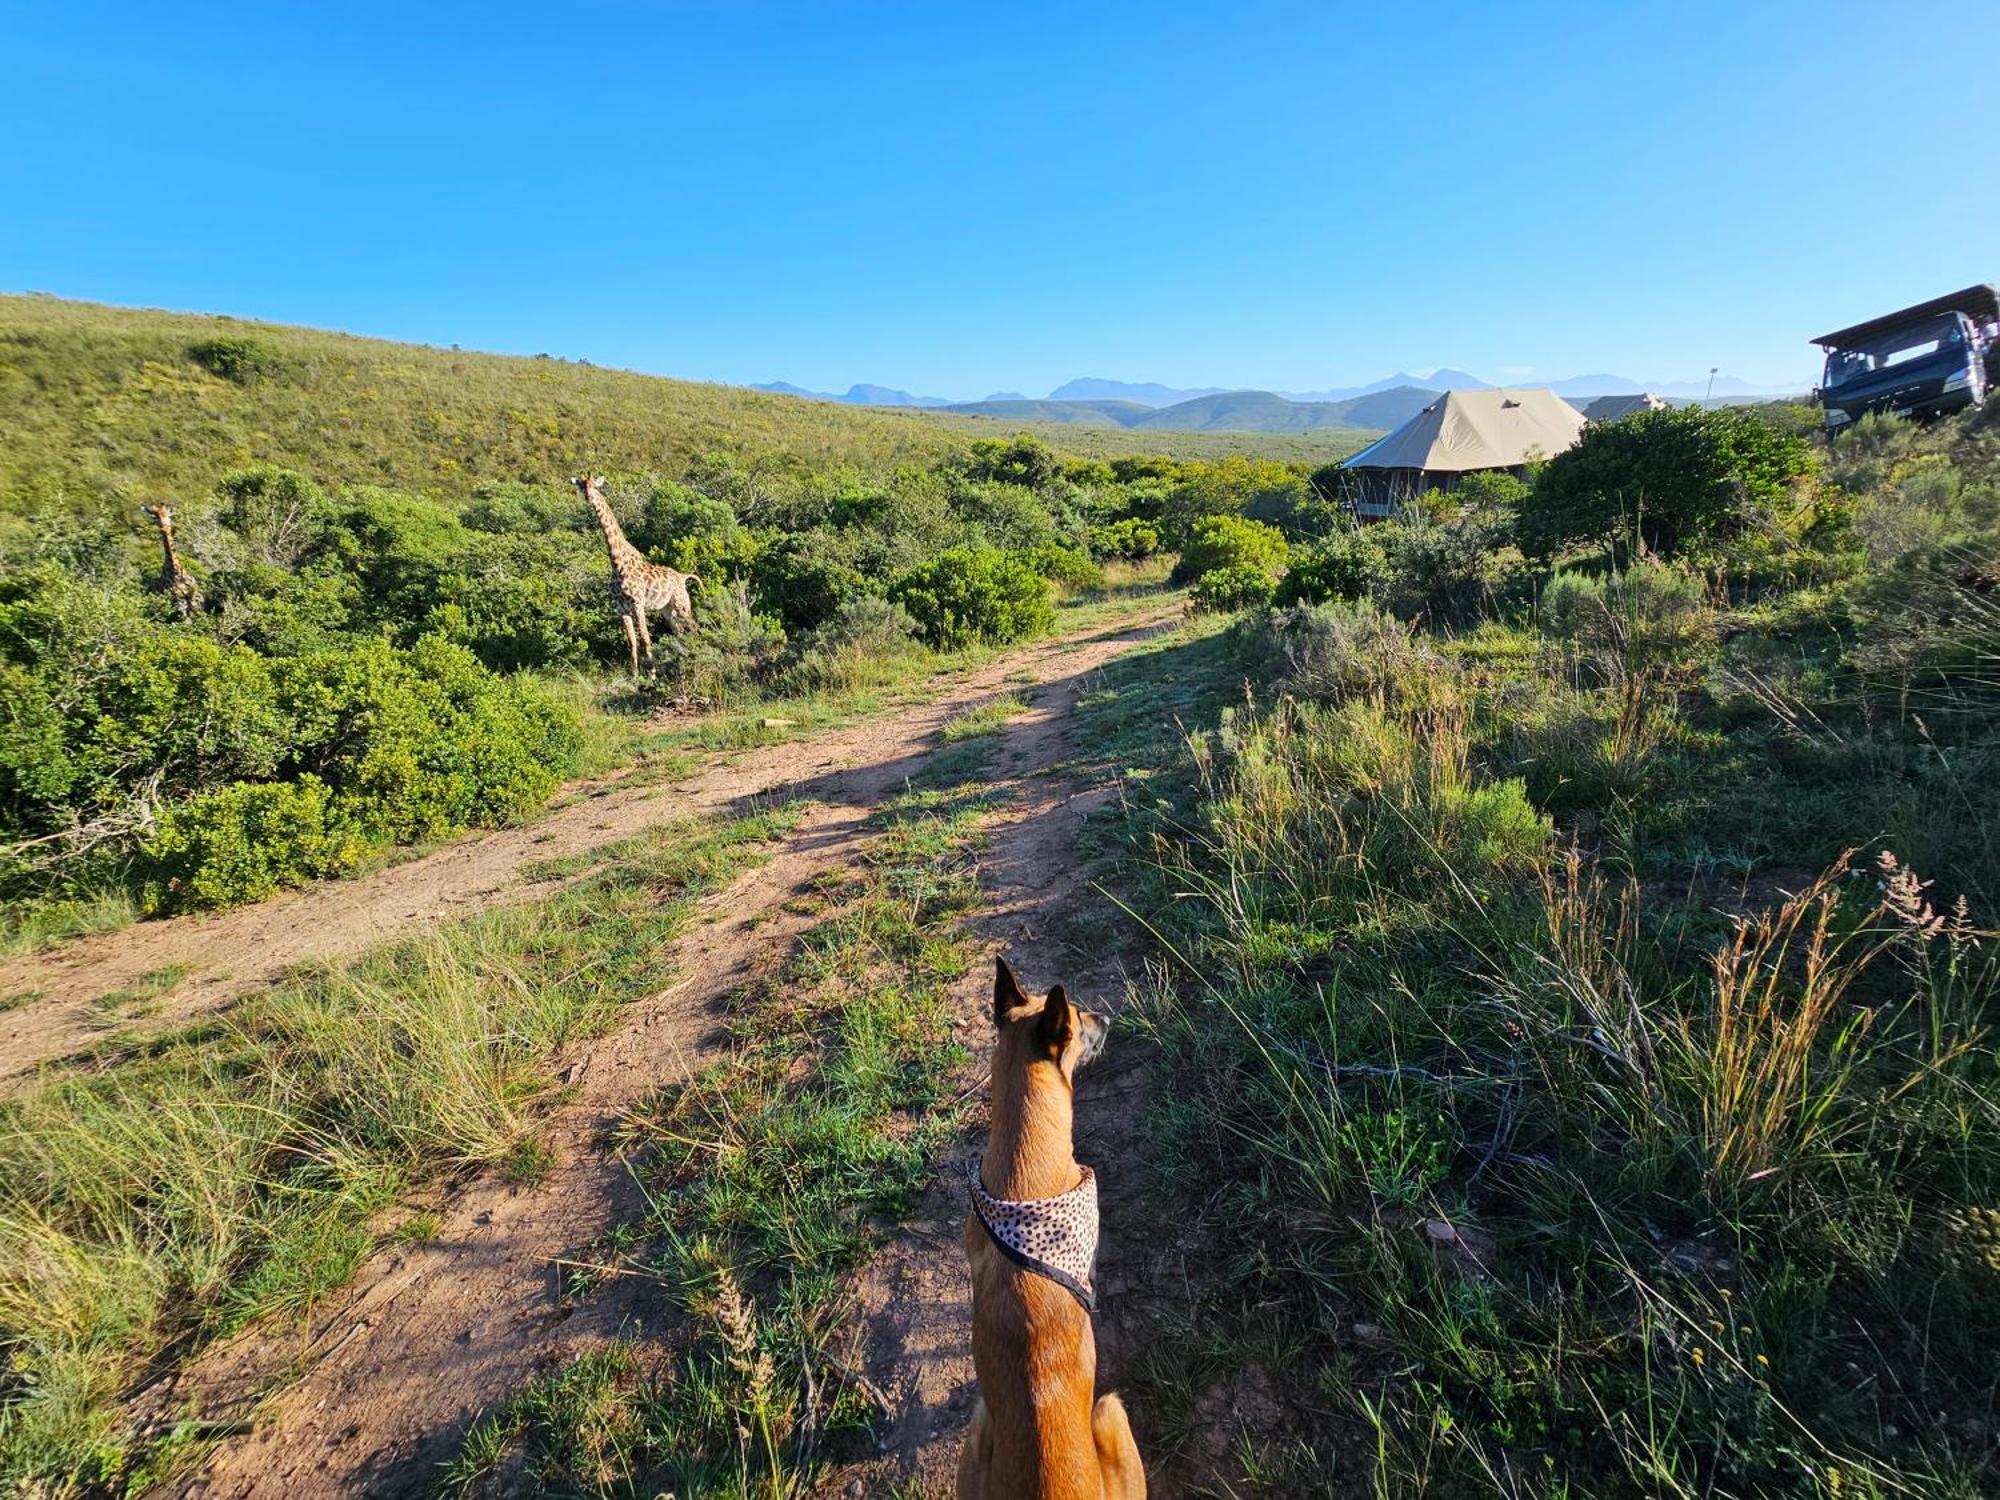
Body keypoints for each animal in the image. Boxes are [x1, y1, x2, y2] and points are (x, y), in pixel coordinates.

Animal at [572, 476, 704, 676]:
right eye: (582, 487)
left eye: (595, 486)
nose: (589, 497)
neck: (617, 562)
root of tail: (682, 576)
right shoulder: (621, 608)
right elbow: (631, 641)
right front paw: (634, 674)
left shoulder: (637, 604)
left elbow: (645, 639)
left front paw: (652, 674)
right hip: (667, 608)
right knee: (678, 631)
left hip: (681, 604)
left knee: (693, 627)